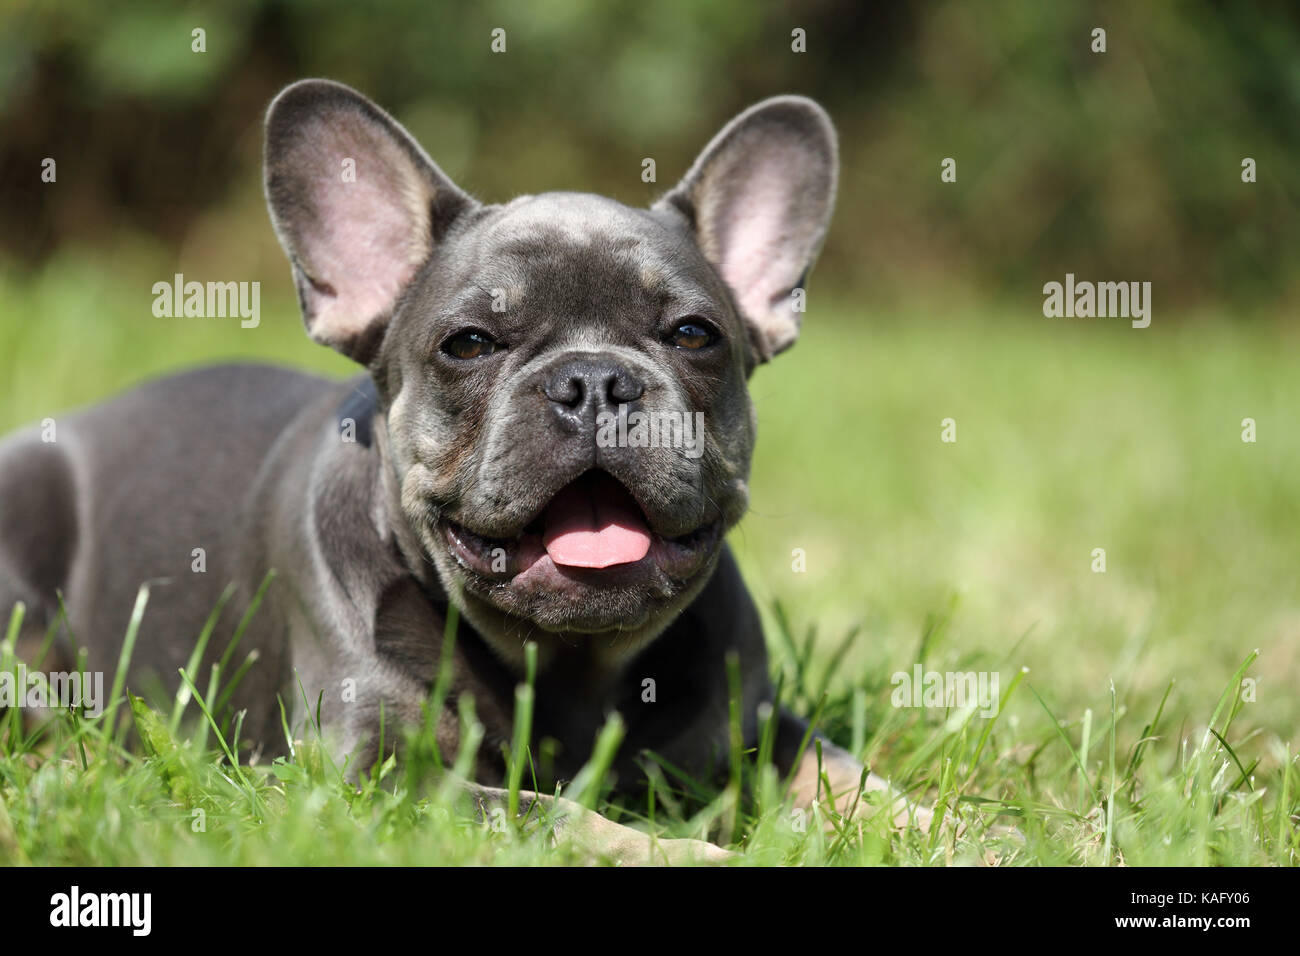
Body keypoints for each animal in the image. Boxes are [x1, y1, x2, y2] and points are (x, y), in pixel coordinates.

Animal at [0, 78, 925, 863]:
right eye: (469, 344)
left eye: (695, 334)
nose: (594, 380)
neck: (567, 667)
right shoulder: (383, 778)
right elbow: (563, 817)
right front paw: (693, 853)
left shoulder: (760, 725)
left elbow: (845, 773)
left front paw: (937, 827)